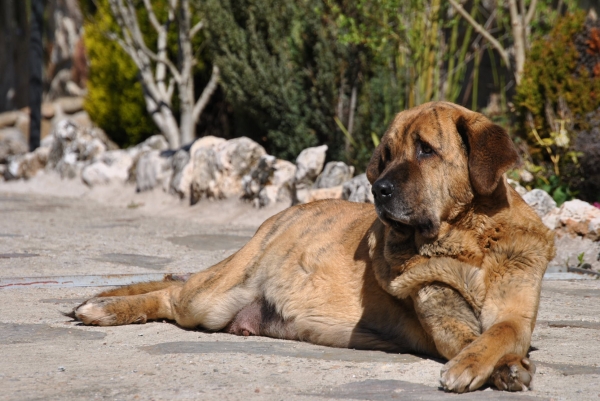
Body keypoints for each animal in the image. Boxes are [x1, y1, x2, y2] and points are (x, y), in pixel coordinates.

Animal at [68, 101, 556, 392]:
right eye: (387, 153)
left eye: (425, 150)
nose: (377, 189)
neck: (470, 239)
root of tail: (280, 217)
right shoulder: (443, 316)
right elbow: (474, 337)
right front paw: (479, 365)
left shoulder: (515, 313)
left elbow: (499, 332)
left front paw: (507, 365)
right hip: (210, 299)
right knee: (170, 292)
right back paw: (102, 308)